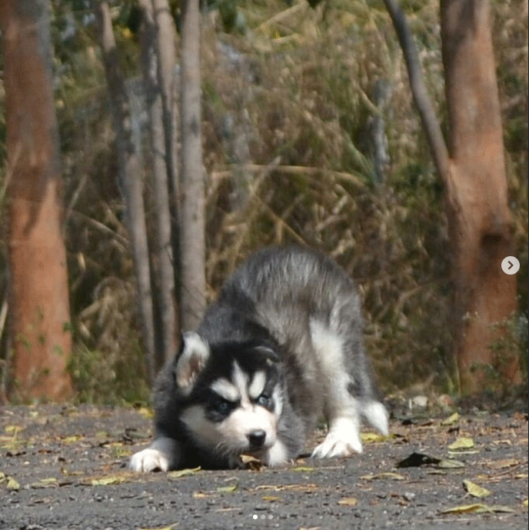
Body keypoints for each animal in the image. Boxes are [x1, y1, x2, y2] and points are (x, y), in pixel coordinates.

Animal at [130, 245, 388, 472]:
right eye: (222, 406)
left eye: (264, 399)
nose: (258, 436)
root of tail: (300, 251)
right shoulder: (168, 412)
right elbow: (167, 439)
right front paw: (151, 453)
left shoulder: (288, 426)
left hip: (332, 344)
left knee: (345, 396)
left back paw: (340, 440)